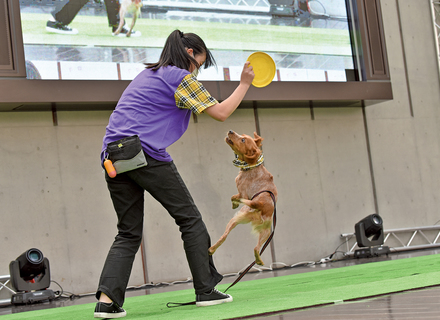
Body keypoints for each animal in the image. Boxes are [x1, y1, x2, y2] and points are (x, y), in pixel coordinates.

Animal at [208, 130, 276, 264]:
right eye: (243, 135)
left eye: (243, 140)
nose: (230, 131)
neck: (251, 165)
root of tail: (259, 204)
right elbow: (233, 196)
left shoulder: (242, 193)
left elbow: (233, 197)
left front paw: (235, 203)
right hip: (266, 232)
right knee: (256, 248)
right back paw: (259, 260)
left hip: (235, 219)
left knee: (224, 236)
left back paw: (211, 250)